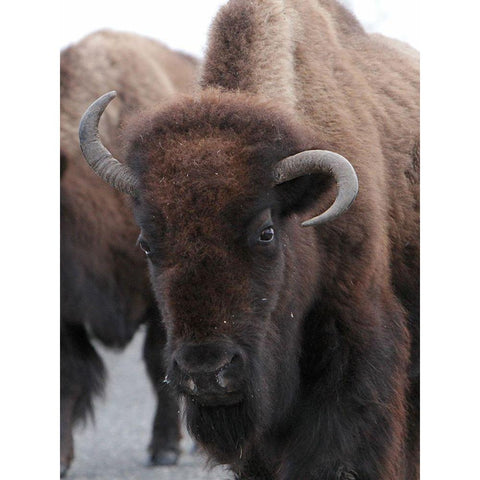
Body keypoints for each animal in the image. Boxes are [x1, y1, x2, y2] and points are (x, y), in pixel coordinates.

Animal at [60, 30, 199, 476]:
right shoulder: (68, 314)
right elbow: (69, 378)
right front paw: (61, 459)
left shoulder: (161, 301)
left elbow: (160, 365)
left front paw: (164, 449)